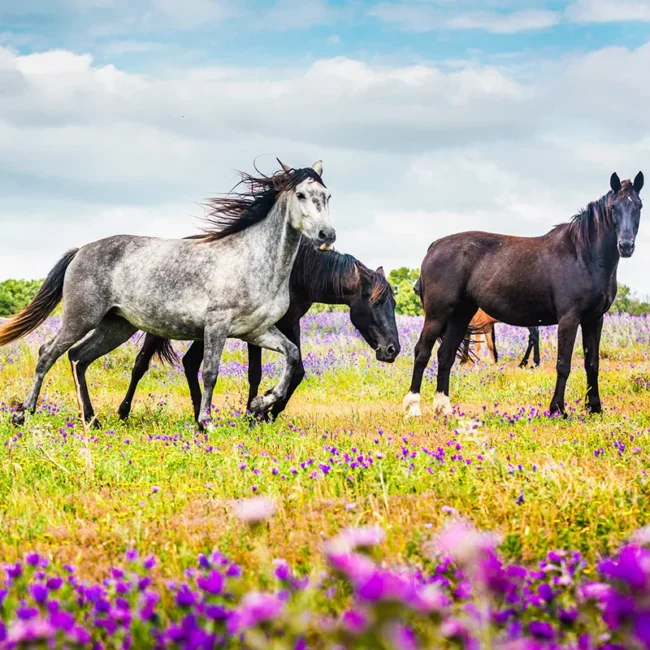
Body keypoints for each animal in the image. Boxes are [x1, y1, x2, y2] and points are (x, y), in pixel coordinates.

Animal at [0, 160, 336, 429]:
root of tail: (81, 250)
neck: (254, 260)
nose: (327, 235)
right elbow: (210, 372)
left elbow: (291, 356)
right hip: (81, 317)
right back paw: (22, 414)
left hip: (116, 326)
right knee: (48, 353)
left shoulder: (256, 331)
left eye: (327, 196)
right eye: (301, 195)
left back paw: (91, 419)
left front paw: (261, 403)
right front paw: (206, 422)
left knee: (78, 358)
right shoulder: (217, 325)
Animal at [116, 237, 400, 422]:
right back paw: (123, 412)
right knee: (141, 364)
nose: (392, 350)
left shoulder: (290, 322)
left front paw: (269, 411)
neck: (299, 272)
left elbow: (297, 371)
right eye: (376, 302)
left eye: (394, 303)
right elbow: (255, 372)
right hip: (159, 327)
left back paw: (199, 414)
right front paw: (254, 412)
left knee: (189, 362)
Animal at [403, 172, 644, 418]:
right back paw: (413, 407)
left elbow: (592, 363)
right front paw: (557, 408)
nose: (626, 246)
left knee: (446, 355)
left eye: (639, 206)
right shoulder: (569, 318)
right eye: (613, 207)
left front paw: (595, 407)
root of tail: (435, 245)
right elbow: (563, 363)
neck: (582, 255)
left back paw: (444, 408)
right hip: (437, 316)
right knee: (422, 353)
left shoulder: (594, 319)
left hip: (460, 316)